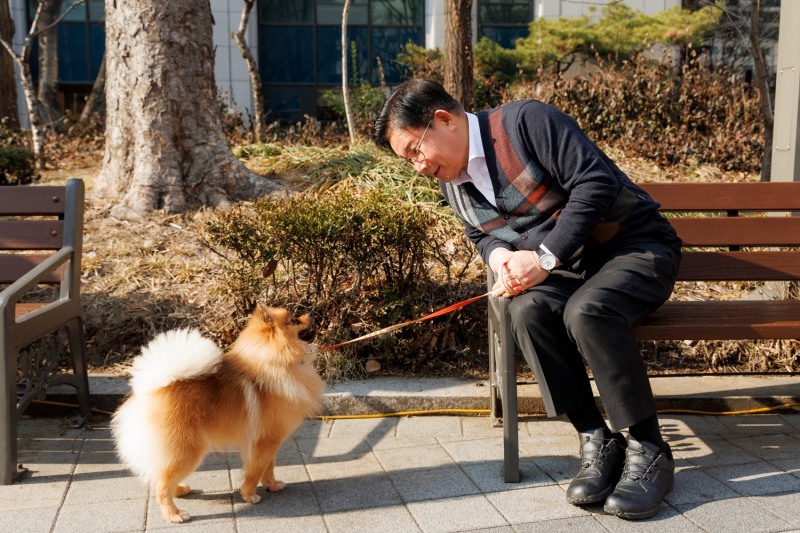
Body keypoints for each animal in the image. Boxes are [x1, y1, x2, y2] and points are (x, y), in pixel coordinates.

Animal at [111, 304, 324, 524]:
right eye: (293, 320)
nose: (311, 314)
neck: (280, 360)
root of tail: (152, 388)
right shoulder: (264, 442)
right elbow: (255, 471)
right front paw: (249, 495)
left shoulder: (271, 441)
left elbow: (269, 467)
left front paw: (271, 485)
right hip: (186, 450)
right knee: (162, 486)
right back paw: (175, 514)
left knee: (161, 477)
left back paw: (180, 490)